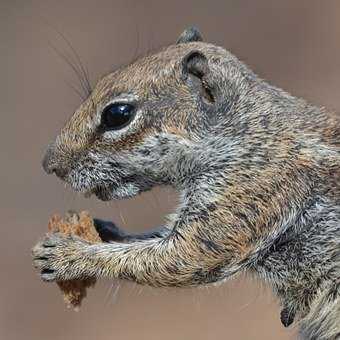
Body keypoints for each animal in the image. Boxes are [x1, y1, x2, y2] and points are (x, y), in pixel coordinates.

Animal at [32, 27, 340, 340]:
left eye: (117, 114)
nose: (50, 164)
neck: (248, 130)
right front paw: (104, 231)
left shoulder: (247, 194)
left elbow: (177, 257)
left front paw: (69, 256)